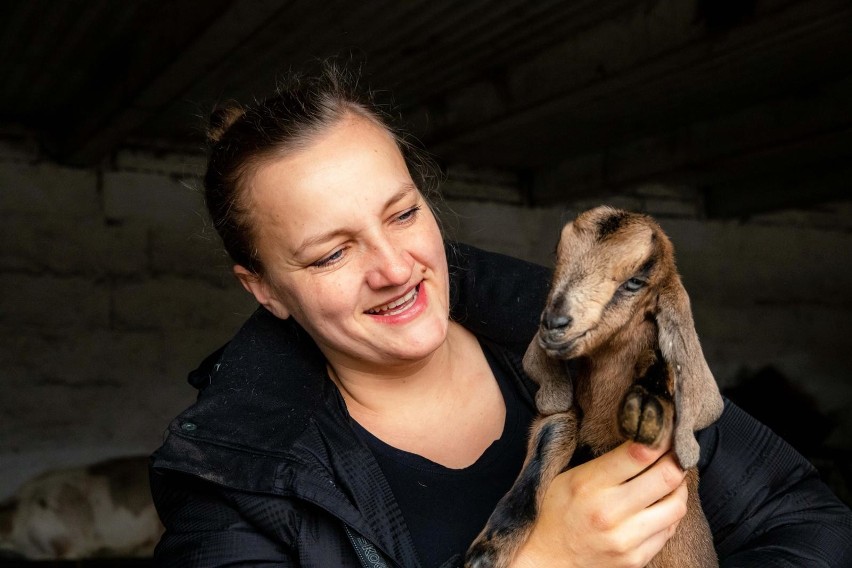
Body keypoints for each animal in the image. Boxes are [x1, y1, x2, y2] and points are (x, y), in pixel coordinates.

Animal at [470, 206, 724, 568]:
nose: (554, 323)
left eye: (635, 282)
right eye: (558, 254)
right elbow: (549, 438)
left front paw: (647, 407)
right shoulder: (560, 419)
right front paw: (485, 553)